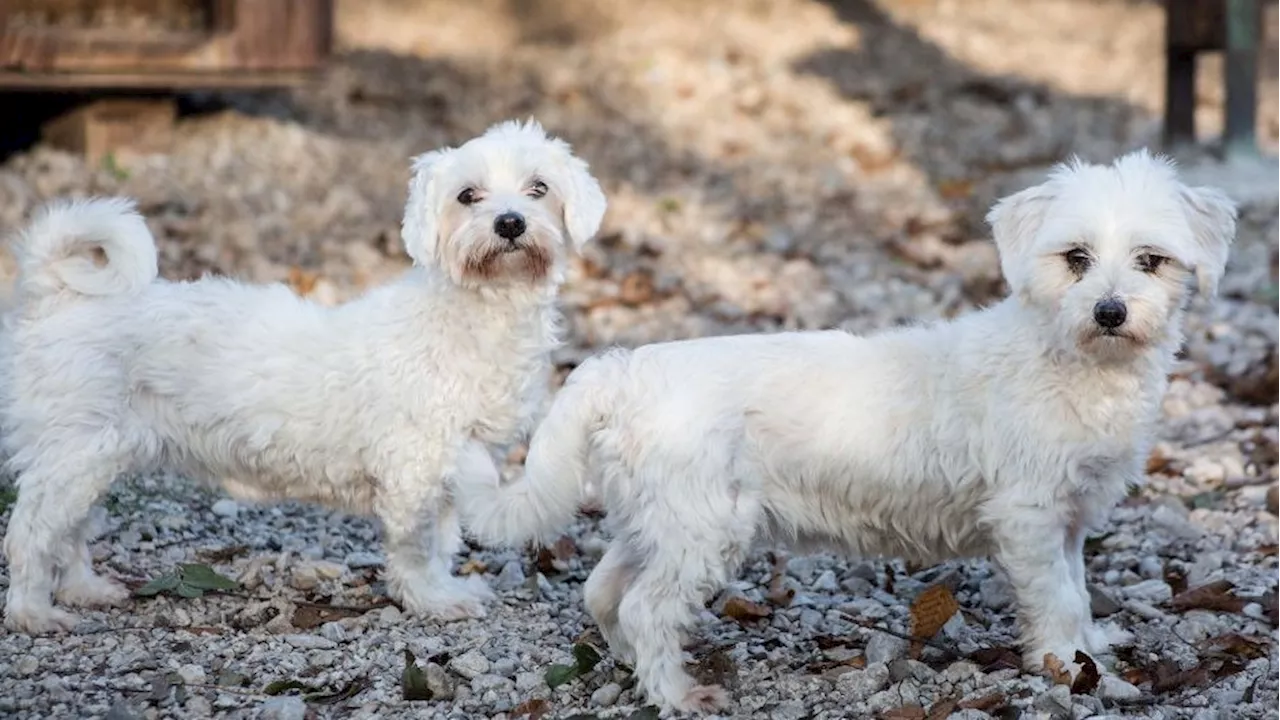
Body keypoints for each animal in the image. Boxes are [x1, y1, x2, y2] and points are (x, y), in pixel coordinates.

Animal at [0, 120, 609, 630]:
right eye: (467, 195)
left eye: (538, 189)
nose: (510, 222)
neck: (477, 315)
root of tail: (60, 297)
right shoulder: (413, 471)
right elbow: (417, 547)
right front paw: (434, 600)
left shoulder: (452, 471)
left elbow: (441, 540)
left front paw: (443, 590)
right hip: (75, 452)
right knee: (32, 532)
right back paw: (34, 613)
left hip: (92, 459)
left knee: (71, 532)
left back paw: (84, 589)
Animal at [455, 151, 1233, 712]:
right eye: (1075, 258)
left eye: (1151, 260)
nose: (1110, 311)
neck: (1067, 356)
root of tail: (621, 371)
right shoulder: (1032, 516)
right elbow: (1060, 600)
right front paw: (1075, 672)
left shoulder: (1069, 520)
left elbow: (1079, 589)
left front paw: (1093, 648)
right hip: (706, 530)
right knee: (647, 606)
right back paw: (678, 694)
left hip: (662, 522)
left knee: (603, 590)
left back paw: (635, 668)